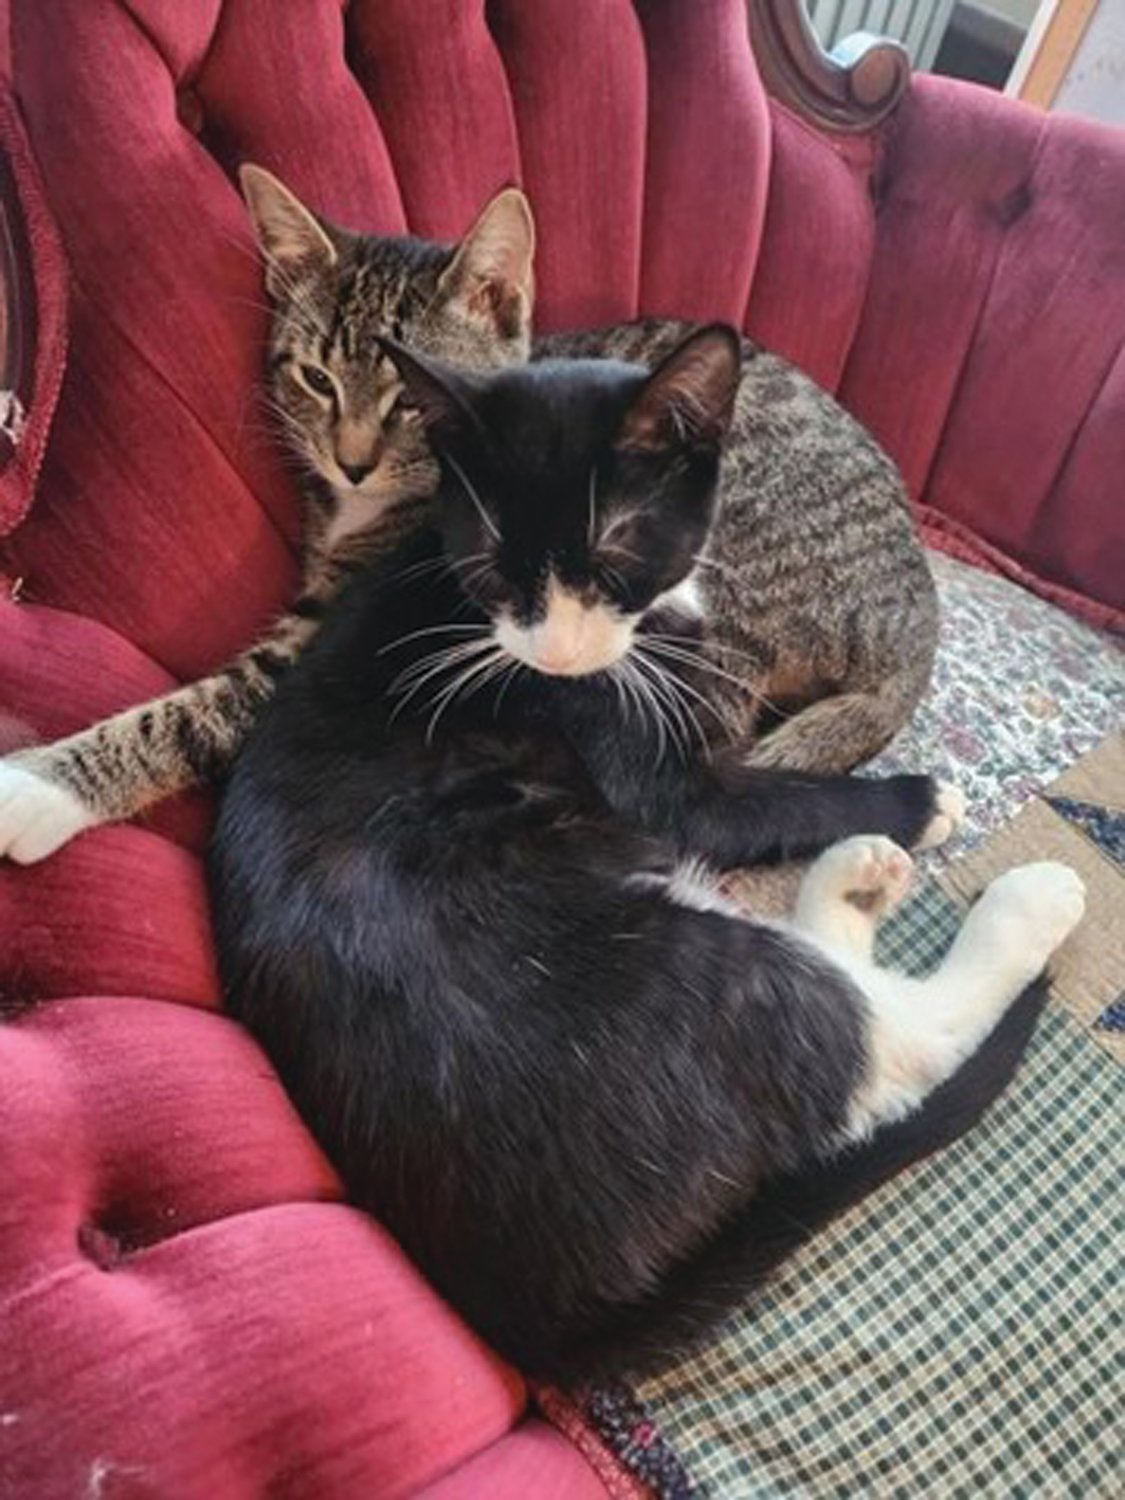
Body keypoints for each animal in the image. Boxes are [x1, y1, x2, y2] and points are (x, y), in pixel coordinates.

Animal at [0, 168, 954, 864]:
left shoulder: (334, 632)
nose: (349, 460)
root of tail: (914, 620)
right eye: (315, 379)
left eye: (409, 401)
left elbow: (199, 709)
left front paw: (43, 788)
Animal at [210, 325, 1086, 1380]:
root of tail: (544, 1321)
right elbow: (747, 800)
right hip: (686, 971)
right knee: (895, 1039)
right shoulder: (646, 769)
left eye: (616, 544)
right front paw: (919, 802)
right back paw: (1028, 900)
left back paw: (854, 880)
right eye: (492, 559)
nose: (554, 651)